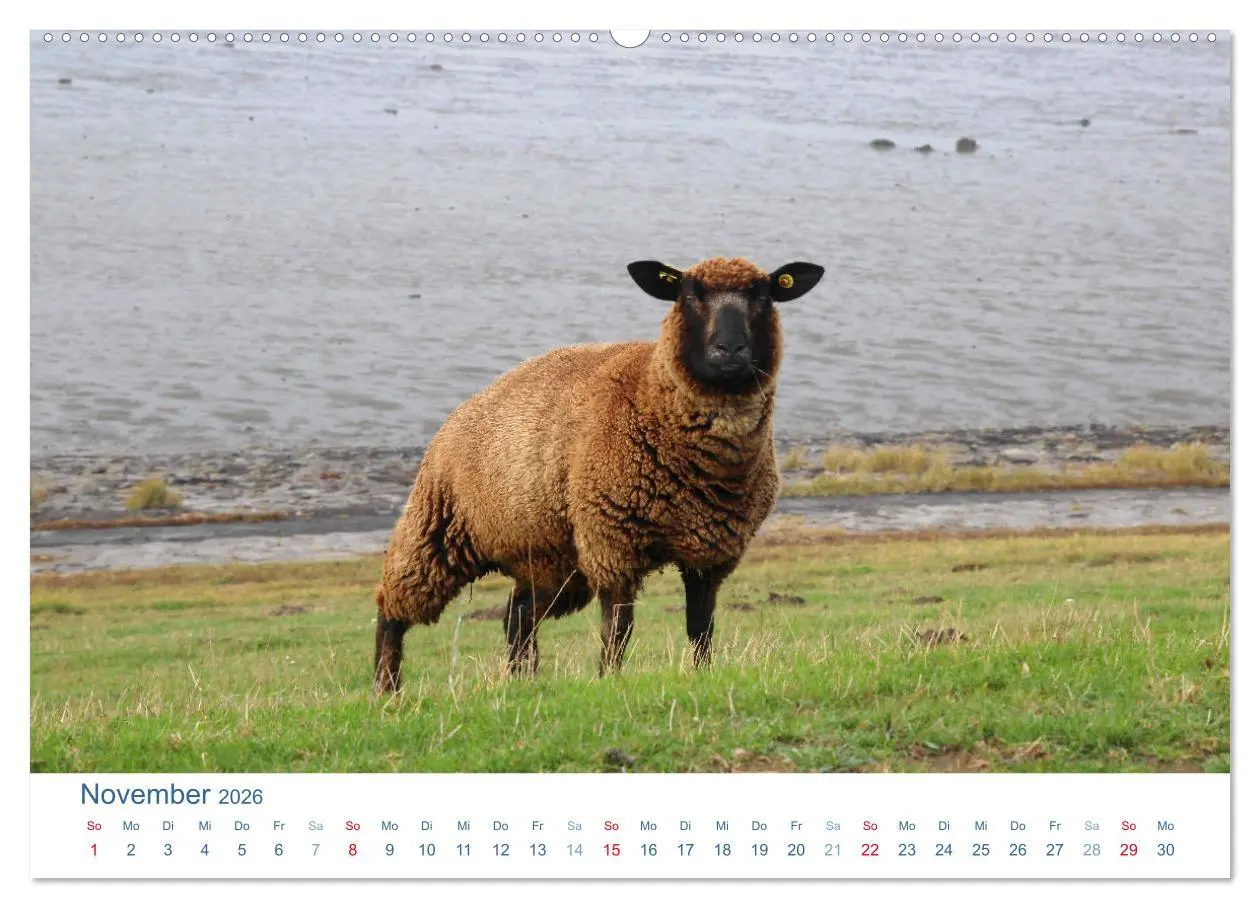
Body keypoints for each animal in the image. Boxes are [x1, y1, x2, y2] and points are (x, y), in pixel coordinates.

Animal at [374, 256, 825, 693]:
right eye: (688, 294)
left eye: (763, 295)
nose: (729, 349)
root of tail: (462, 409)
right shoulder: (613, 543)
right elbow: (619, 629)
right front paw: (609, 680)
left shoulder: (710, 553)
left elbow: (701, 627)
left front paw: (702, 675)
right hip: (436, 528)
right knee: (393, 610)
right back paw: (386, 690)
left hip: (550, 555)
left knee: (517, 615)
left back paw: (522, 681)